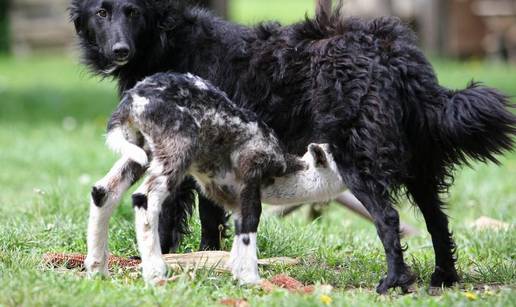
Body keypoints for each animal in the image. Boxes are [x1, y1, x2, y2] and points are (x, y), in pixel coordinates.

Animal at [69, 0, 516, 294]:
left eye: (132, 11)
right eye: (101, 12)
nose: (119, 51)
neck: (169, 37)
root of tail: (395, 51)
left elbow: (172, 219)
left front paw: (171, 259)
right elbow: (213, 221)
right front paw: (207, 260)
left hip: (358, 160)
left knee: (388, 218)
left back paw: (392, 283)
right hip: (416, 162)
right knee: (438, 221)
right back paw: (444, 279)